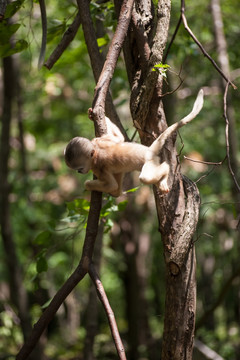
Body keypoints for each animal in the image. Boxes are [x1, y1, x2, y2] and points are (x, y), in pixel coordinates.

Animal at [64, 89, 203, 197]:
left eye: (80, 168)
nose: (79, 172)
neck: (96, 150)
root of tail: (149, 151)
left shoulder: (99, 167)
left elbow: (111, 185)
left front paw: (88, 185)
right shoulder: (98, 141)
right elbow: (119, 138)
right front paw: (93, 116)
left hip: (150, 163)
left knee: (146, 177)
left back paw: (165, 170)